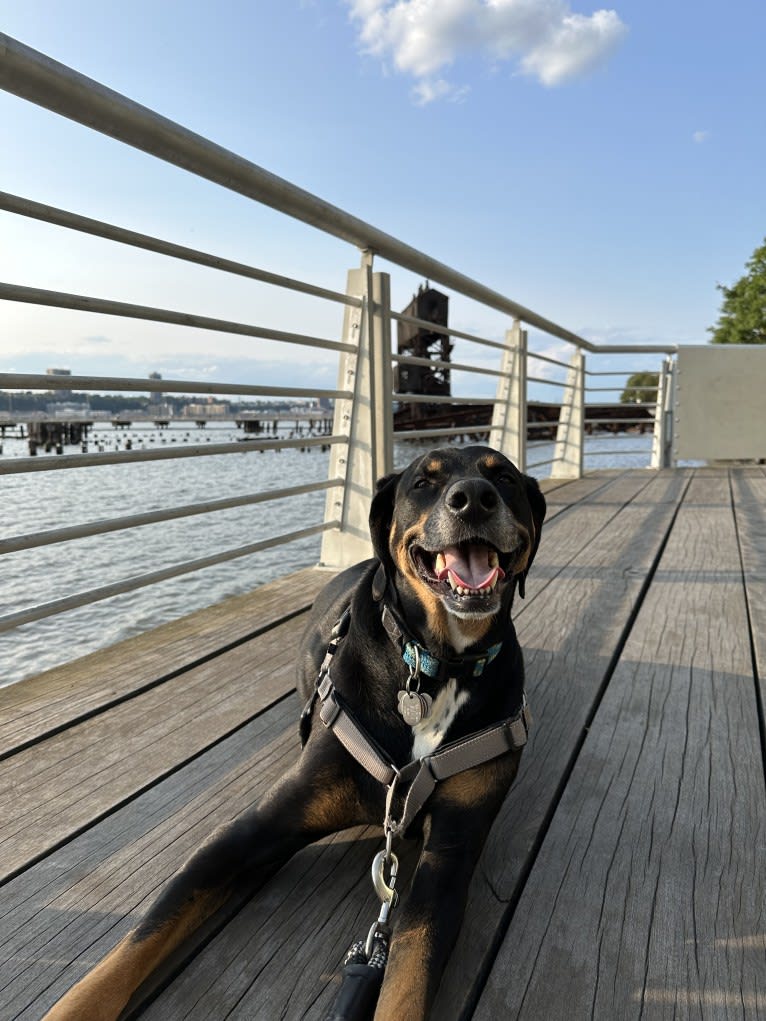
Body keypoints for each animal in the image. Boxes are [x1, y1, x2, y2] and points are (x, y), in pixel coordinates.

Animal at [43, 445, 547, 1021]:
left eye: (503, 477)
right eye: (425, 481)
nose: (474, 499)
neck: (434, 664)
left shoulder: (448, 858)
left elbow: (406, 985)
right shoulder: (244, 834)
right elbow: (135, 943)